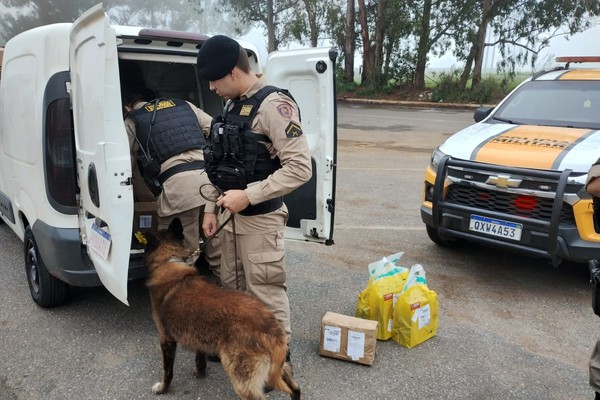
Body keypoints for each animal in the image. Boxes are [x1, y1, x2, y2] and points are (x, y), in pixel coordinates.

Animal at [141, 219, 300, 400]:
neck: (169, 261)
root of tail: (271, 327)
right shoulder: (197, 337)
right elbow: (200, 357)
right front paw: (200, 372)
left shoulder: (166, 339)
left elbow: (168, 372)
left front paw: (162, 389)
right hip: (280, 368)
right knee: (295, 388)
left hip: (241, 378)